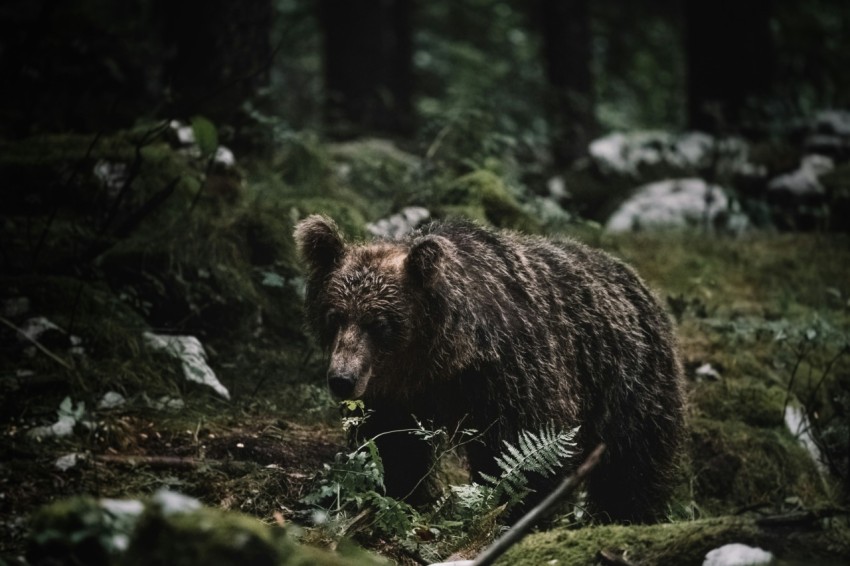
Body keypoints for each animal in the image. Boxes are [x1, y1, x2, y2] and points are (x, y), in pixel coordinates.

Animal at [294, 214, 685, 523]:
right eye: (335, 316)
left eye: (380, 323)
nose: (342, 380)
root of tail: (638, 282)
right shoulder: (396, 393)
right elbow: (393, 445)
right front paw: (401, 494)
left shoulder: (512, 374)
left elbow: (526, 450)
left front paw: (511, 511)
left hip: (630, 384)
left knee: (633, 464)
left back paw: (627, 516)